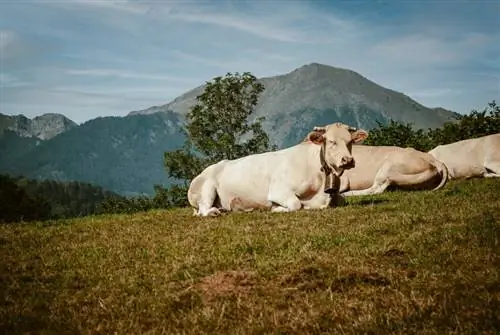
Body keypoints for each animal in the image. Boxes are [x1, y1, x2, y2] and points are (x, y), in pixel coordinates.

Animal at [188, 123, 368, 218]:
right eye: (331, 141)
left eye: (350, 141)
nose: (348, 160)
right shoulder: (278, 190)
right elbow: (296, 204)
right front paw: (277, 208)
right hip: (207, 188)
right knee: (204, 210)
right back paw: (215, 212)